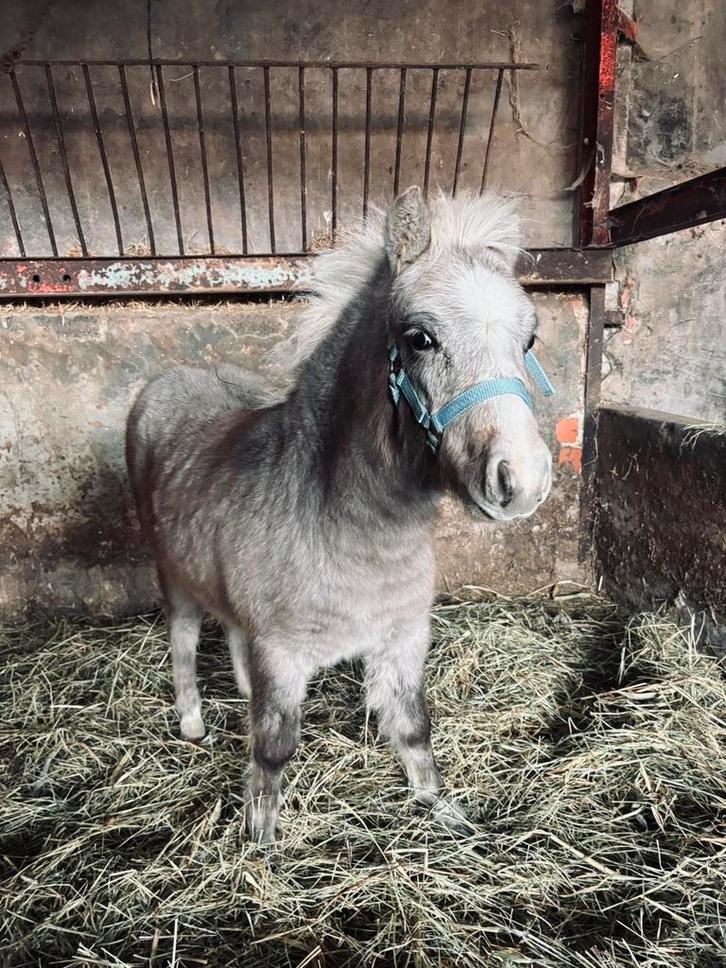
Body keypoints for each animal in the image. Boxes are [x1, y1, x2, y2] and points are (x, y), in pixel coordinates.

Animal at [126, 187, 554, 843]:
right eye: (419, 337)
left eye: (527, 339)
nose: (522, 481)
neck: (356, 531)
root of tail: (171, 380)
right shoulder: (282, 653)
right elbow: (274, 749)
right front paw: (262, 842)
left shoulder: (402, 640)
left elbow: (413, 728)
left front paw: (444, 812)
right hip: (172, 576)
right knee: (184, 643)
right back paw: (193, 724)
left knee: (232, 635)